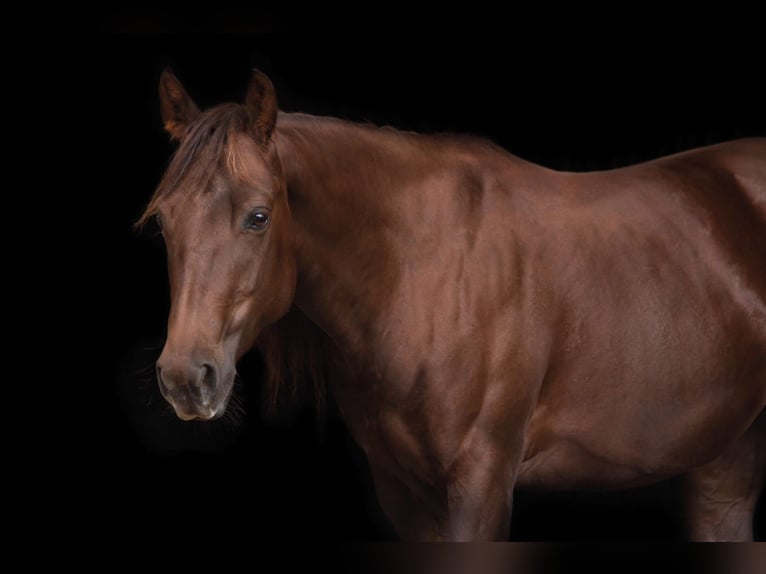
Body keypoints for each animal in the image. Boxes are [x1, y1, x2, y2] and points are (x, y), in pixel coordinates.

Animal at [138, 70, 766, 544]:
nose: (186, 378)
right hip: (726, 461)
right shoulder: (404, 492)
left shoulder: (481, 482)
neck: (422, 274)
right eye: (164, 221)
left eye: (259, 216)